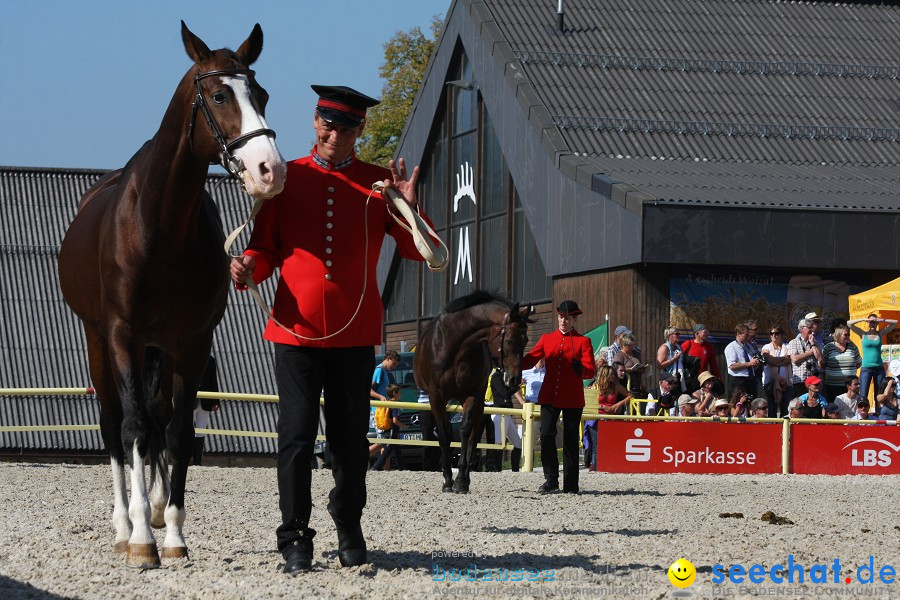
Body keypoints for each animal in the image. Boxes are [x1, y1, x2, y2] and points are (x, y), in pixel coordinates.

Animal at [58, 23, 284, 568]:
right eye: (220, 94)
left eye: (262, 94)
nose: (269, 169)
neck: (159, 226)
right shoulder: (124, 336)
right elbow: (134, 430)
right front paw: (142, 540)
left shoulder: (192, 343)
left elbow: (179, 436)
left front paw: (175, 534)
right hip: (100, 342)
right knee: (114, 426)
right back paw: (125, 524)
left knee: (159, 422)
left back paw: (156, 510)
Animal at [414, 290, 532, 492]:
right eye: (509, 340)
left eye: (525, 341)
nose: (514, 380)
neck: (454, 346)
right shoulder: (436, 396)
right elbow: (444, 434)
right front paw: (447, 479)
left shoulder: (472, 394)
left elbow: (466, 430)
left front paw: (460, 479)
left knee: (474, 435)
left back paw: (464, 479)